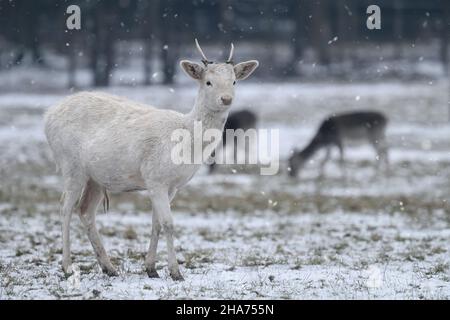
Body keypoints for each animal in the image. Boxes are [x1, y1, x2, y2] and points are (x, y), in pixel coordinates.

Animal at [44, 39, 260, 280]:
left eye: (234, 81)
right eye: (208, 82)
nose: (226, 99)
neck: (187, 143)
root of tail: (48, 115)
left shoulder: (172, 185)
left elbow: (156, 224)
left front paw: (151, 268)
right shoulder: (155, 178)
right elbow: (168, 223)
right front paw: (175, 272)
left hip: (97, 177)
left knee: (85, 210)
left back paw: (109, 267)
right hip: (71, 164)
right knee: (65, 207)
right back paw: (67, 266)